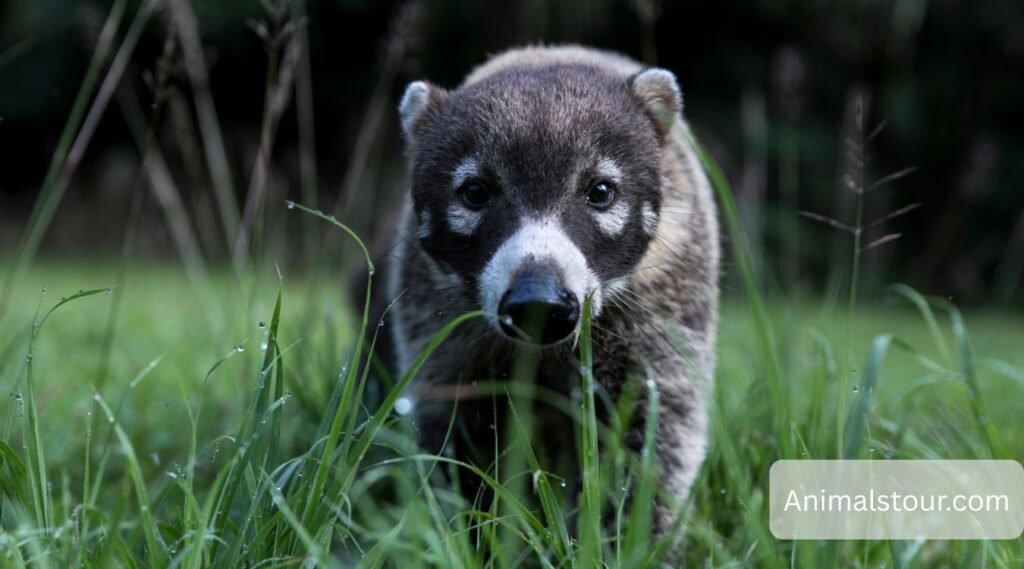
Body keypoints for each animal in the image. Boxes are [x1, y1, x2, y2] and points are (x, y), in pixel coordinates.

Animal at [383, 45, 719, 535]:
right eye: (475, 192)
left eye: (600, 191)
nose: (538, 303)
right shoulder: (432, 314)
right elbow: (451, 419)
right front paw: (467, 528)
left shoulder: (668, 292)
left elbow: (656, 425)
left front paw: (629, 535)